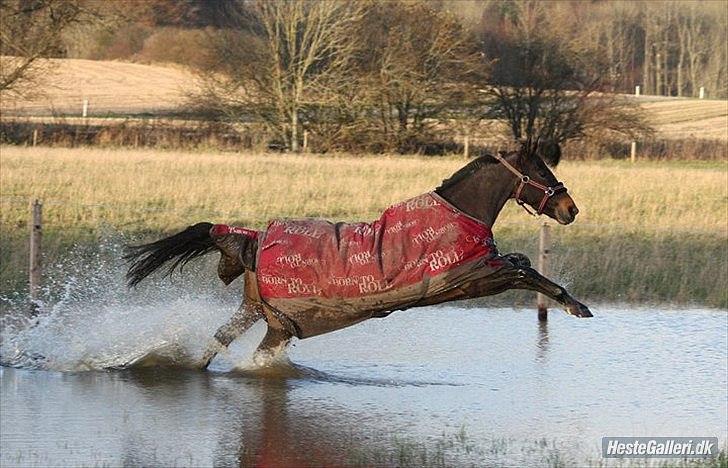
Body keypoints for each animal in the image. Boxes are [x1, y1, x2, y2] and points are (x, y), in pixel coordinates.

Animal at [125, 141, 592, 372]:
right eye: (542, 172)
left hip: (260, 310)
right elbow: (527, 275)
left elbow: (523, 264)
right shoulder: (473, 277)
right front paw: (576, 306)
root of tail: (254, 239)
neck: (460, 213)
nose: (570, 209)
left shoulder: (483, 269)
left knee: (221, 339)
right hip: (281, 322)